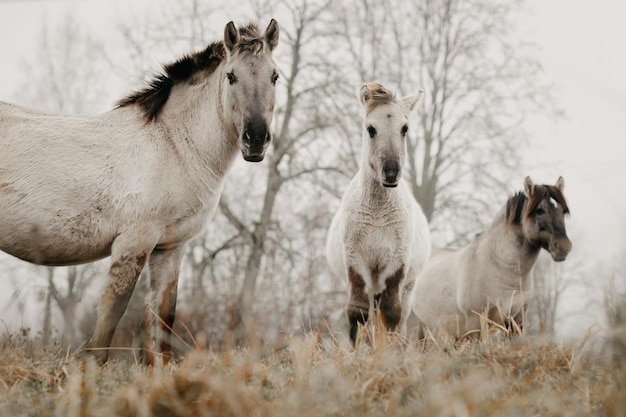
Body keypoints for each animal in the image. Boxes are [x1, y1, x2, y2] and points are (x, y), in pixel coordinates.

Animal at [0, 20, 278, 364]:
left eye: (274, 76)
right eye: (231, 76)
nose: (256, 139)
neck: (174, 144)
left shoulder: (171, 247)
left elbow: (163, 317)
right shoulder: (134, 242)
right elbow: (112, 315)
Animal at [326, 81, 428, 344]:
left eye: (404, 128)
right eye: (370, 129)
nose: (390, 172)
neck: (378, 213)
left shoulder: (396, 264)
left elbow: (392, 313)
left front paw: (389, 350)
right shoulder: (356, 262)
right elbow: (357, 312)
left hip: (406, 286)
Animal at [410, 176, 572, 338]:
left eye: (562, 211)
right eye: (539, 210)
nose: (564, 247)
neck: (500, 267)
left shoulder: (516, 320)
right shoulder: (475, 322)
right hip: (423, 328)